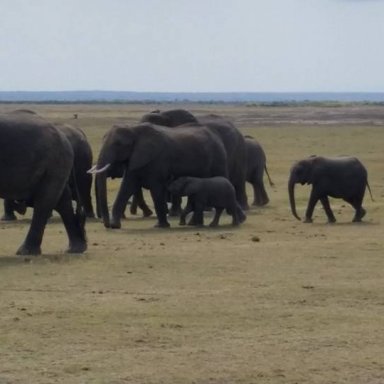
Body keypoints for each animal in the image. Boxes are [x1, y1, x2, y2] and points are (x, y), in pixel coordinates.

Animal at [0, 109, 87, 256]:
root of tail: (63, 137)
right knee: (62, 200)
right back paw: (76, 248)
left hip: (54, 163)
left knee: (45, 201)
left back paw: (26, 251)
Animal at [90, 122, 228, 228]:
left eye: (118, 144)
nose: (106, 224)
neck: (133, 129)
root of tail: (216, 136)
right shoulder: (136, 158)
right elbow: (126, 187)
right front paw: (115, 226)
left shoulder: (157, 160)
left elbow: (156, 189)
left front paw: (160, 226)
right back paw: (192, 224)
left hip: (218, 159)